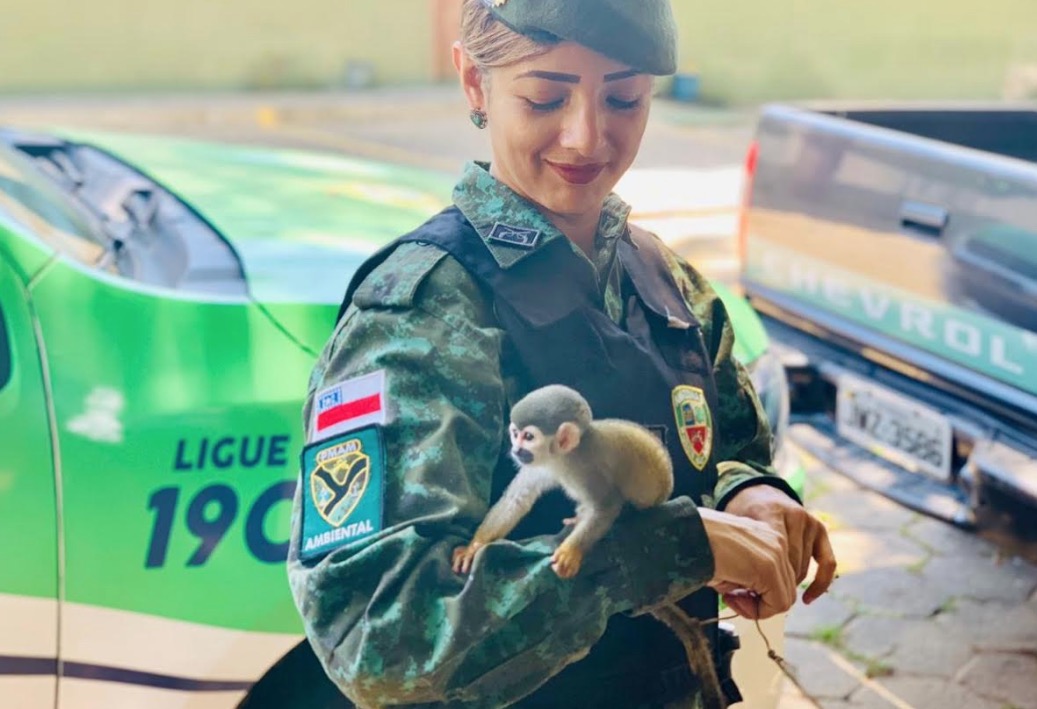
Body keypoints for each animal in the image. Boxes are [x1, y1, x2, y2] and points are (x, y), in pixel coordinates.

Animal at [451, 384, 727, 709]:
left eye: (528, 437)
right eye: (515, 433)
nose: (516, 450)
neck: (563, 457)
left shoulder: (585, 468)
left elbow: (606, 506)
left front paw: (572, 552)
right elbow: (517, 500)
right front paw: (475, 546)